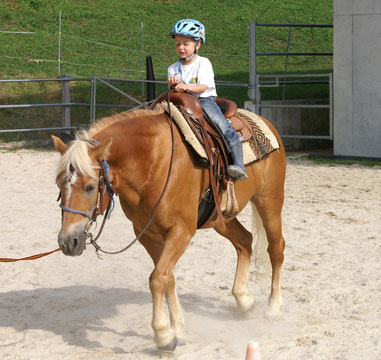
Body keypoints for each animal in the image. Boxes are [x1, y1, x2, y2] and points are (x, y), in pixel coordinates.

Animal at [51, 95, 284, 352]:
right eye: (58, 184)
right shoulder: (146, 233)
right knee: (245, 241)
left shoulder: (181, 231)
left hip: (269, 201)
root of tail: (264, 122)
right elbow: (167, 278)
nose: (68, 242)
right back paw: (244, 300)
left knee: (276, 248)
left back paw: (273, 308)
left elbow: (157, 279)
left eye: (91, 186)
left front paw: (163, 334)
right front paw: (178, 330)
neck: (152, 161)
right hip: (221, 218)